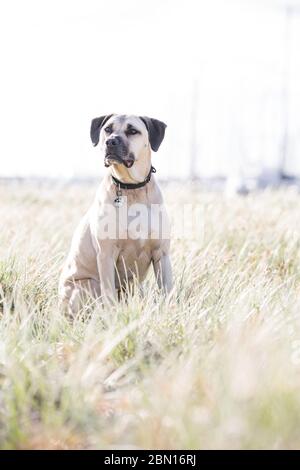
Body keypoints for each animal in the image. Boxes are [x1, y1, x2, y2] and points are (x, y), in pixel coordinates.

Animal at [58, 113, 172, 316]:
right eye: (107, 129)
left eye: (132, 131)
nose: (110, 142)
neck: (131, 187)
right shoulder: (106, 255)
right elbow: (109, 294)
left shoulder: (162, 254)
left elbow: (167, 290)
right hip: (85, 286)